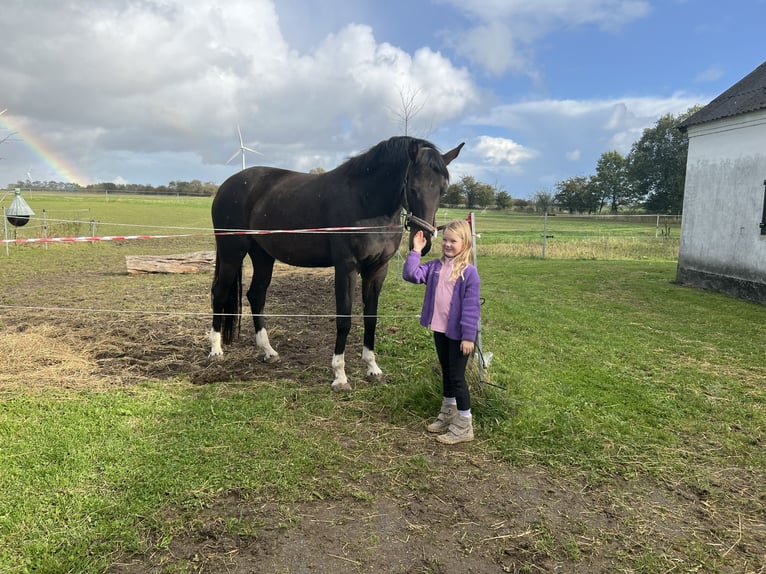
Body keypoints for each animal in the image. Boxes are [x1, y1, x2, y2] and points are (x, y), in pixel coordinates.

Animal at [207, 137, 464, 394]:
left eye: (443, 190)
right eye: (412, 187)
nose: (425, 241)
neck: (365, 200)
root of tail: (227, 185)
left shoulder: (377, 270)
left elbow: (371, 318)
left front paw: (373, 368)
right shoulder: (346, 268)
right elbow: (344, 320)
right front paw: (340, 376)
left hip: (262, 255)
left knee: (256, 295)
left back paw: (268, 351)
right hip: (232, 252)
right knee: (219, 293)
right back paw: (216, 350)